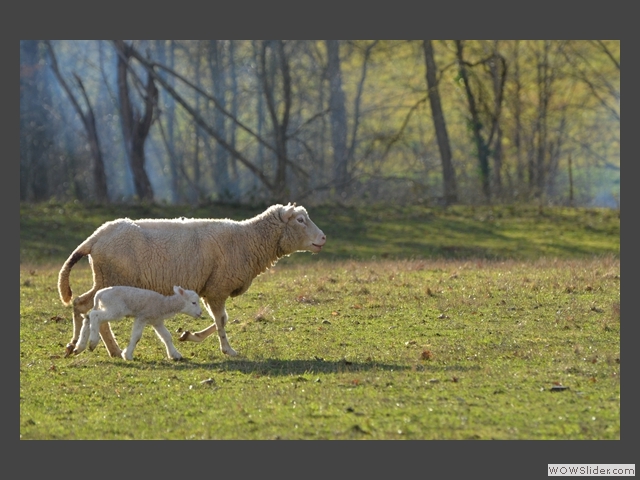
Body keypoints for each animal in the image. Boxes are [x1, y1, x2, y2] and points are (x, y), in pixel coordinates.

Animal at [72, 284, 202, 360]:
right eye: (193, 302)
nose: (200, 313)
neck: (164, 304)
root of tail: (99, 294)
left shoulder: (156, 321)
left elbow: (166, 336)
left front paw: (175, 355)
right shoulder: (142, 317)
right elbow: (136, 336)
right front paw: (127, 355)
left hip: (105, 306)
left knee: (88, 318)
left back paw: (79, 347)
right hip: (115, 309)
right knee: (95, 316)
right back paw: (93, 342)